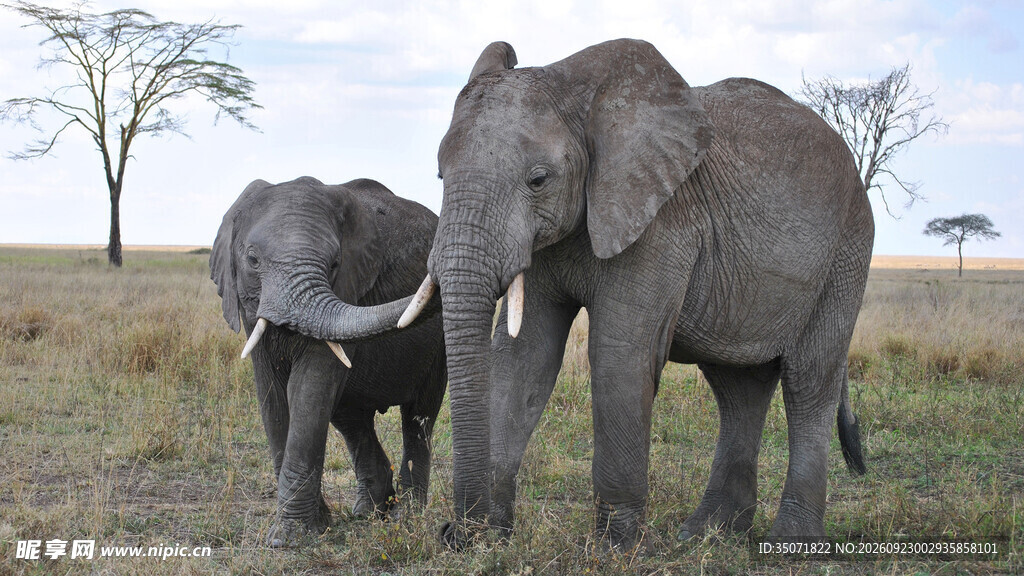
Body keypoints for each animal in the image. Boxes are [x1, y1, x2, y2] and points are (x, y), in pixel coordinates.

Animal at [210, 176, 447, 546]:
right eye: (252, 259)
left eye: (335, 264)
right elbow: (272, 396)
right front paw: (312, 528)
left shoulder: (349, 288)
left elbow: (308, 387)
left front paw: (291, 539)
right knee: (352, 418)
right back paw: (368, 512)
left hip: (438, 347)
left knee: (418, 416)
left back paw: (405, 518)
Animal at [396, 39, 872, 549]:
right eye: (440, 176)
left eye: (538, 180)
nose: (453, 533)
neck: (580, 95)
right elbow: (524, 357)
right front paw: (492, 539)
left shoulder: (661, 221)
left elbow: (618, 354)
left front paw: (612, 548)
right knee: (738, 388)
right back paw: (707, 535)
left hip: (847, 250)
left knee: (809, 380)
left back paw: (790, 544)